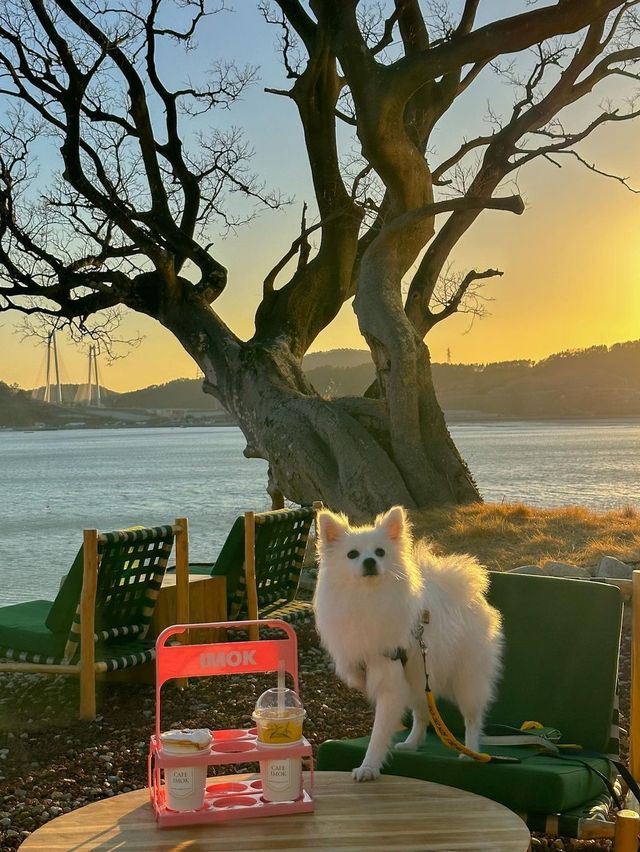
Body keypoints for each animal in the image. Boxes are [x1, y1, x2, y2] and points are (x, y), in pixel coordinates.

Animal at [312, 506, 502, 780]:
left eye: (380, 552)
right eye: (352, 555)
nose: (369, 561)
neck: (368, 599)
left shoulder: (390, 681)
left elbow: (379, 732)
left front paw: (368, 767)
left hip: (467, 680)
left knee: (472, 719)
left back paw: (470, 751)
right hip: (419, 676)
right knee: (422, 712)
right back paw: (412, 743)